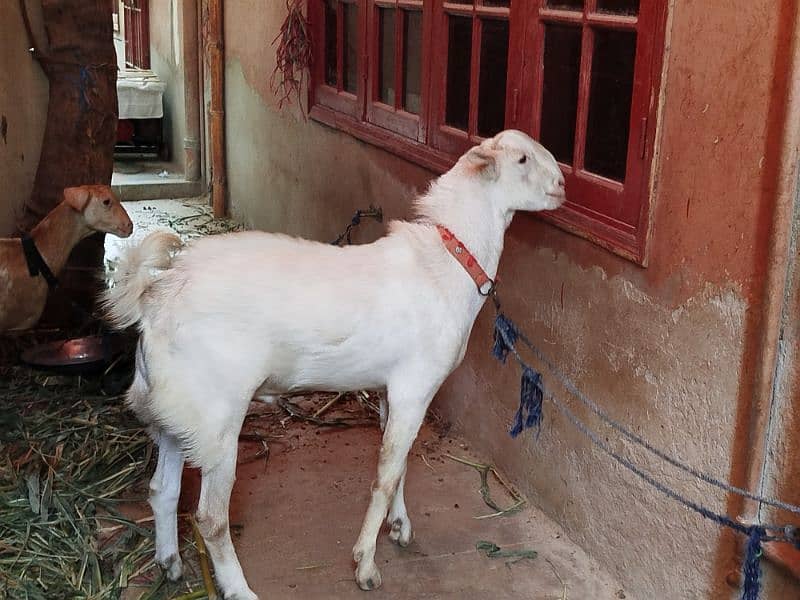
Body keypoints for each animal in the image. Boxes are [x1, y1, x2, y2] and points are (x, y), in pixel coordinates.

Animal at [103, 129, 564, 596]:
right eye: (522, 159)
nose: (563, 186)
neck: (448, 261)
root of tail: (155, 298)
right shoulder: (415, 388)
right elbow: (385, 475)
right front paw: (365, 564)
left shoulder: (390, 391)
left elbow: (399, 466)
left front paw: (399, 525)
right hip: (216, 416)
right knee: (211, 518)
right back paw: (239, 587)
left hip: (176, 411)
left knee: (162, 490)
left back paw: (170, 562)